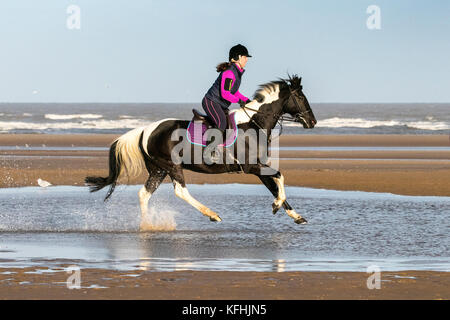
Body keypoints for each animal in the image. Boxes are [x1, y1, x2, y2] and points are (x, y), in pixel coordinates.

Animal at [84, 74, 316, 230]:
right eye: (300, 97)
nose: (312, 122)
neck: (252, 124)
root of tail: (145, 130)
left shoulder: (259, 168)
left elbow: (275, 187)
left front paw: (295, 215)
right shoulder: (252, 167)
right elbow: (280, 177)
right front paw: (277, 206)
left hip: (158, 170)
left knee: (144, 193)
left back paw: (147, 225)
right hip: (172, 166)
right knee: (180, 191)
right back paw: (212, 214)